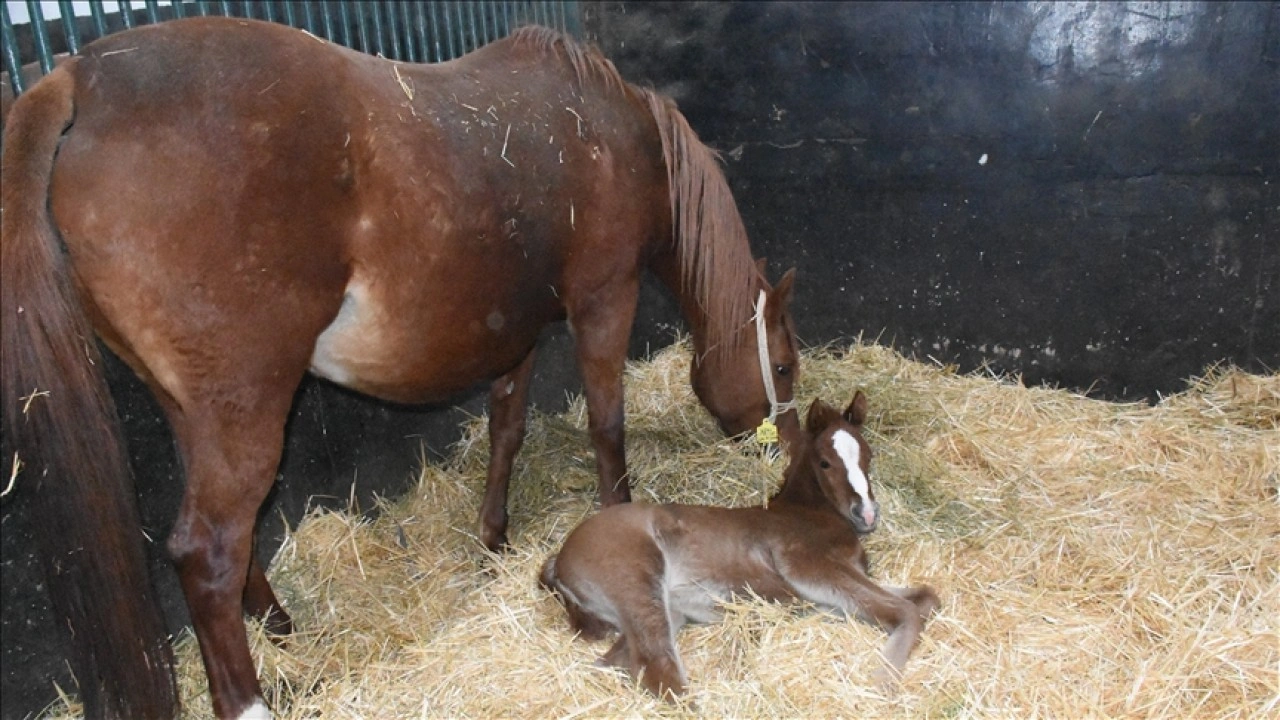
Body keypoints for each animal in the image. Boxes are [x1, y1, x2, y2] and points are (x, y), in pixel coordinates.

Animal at [0, 18, 798, 717]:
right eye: (785, 368)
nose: (790, 460)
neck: (616, 135)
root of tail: (80, 77)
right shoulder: (605, 300)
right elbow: (607, 429)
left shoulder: (517, 333)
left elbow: (506, 430)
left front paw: (494, 540)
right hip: (247, 408)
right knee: (206, 552)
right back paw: (250, 696)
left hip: (190, 411)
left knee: (227, 541)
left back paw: (279, 625)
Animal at [540, 389, 942, 696]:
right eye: (826, 462)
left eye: (869, 456)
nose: (867, 515)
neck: (807, 511)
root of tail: (559, 560)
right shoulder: (809, 565)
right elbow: (904, 612)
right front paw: (883, 681)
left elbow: (924, 598)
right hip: (638, 584)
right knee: (658, 669)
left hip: (665, 611)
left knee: (616, 662)